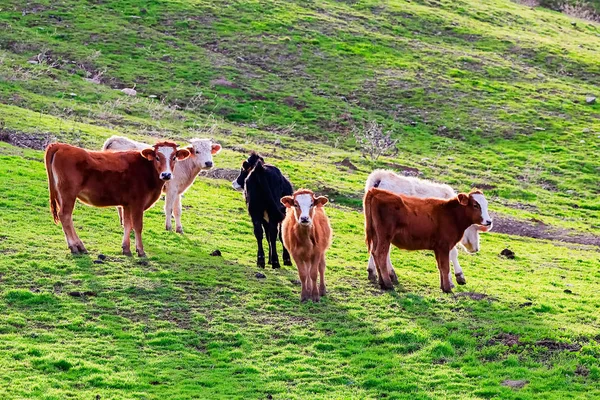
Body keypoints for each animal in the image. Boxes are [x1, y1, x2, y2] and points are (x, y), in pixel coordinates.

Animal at [44, 140, 189, 256]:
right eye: (157, 157)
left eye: (174, 157)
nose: (166, 175)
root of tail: (60, 145)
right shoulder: (138, 203)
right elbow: (138, 226)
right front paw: (141, 251)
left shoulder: (127, 204)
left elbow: (128, 225)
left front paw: (126, 249)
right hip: (68, 194)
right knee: (65, 216)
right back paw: (75, 246)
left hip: (61, 195)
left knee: (66, 217)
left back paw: (79, 246)